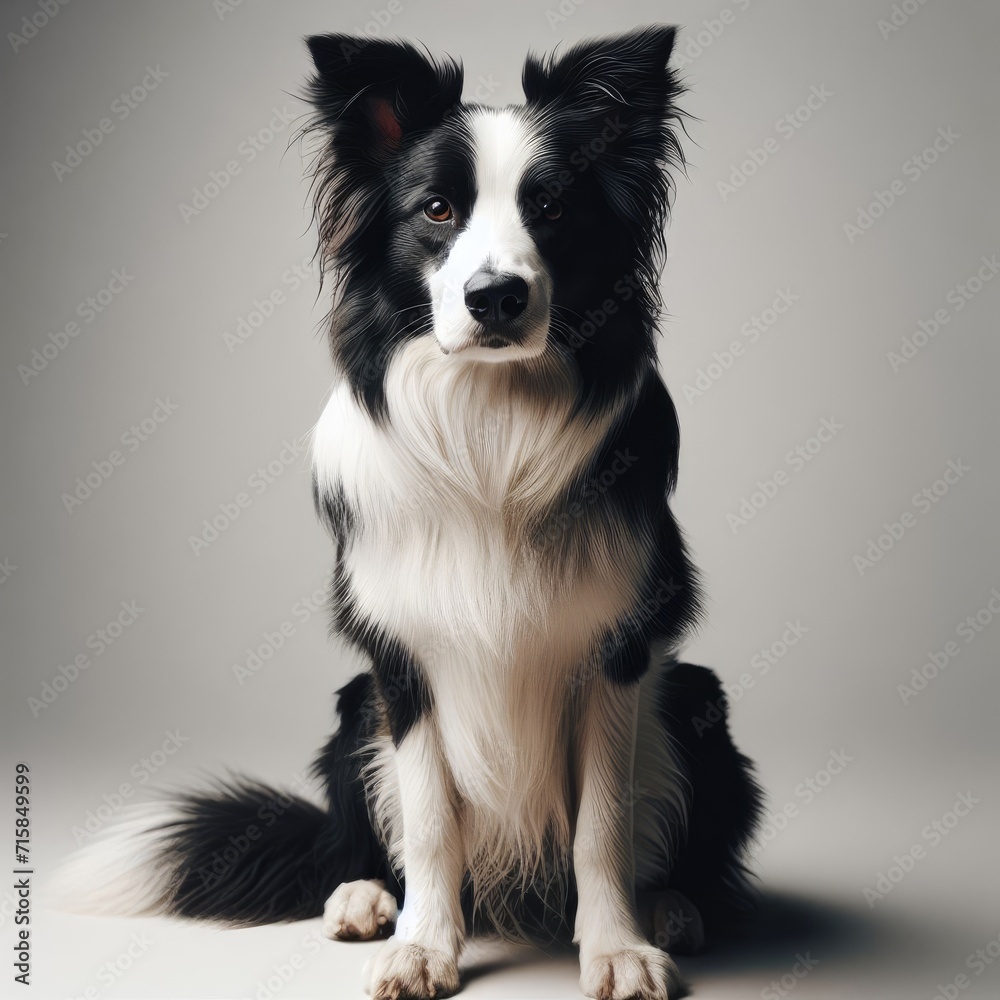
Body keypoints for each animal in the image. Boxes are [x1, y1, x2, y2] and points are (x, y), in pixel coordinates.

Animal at [58, 23, 760, 1000]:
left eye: (551, 208)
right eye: (436, 210)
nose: (496, 296)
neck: (490, 421)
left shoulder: (617, 647)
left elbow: (602, 823)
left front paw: (616, 947)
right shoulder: (402, 658)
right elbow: (432, 823)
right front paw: (426, 947)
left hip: (698, 698)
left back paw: (673, 907)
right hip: (355, 708)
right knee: (364, 840)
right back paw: (360, 897)